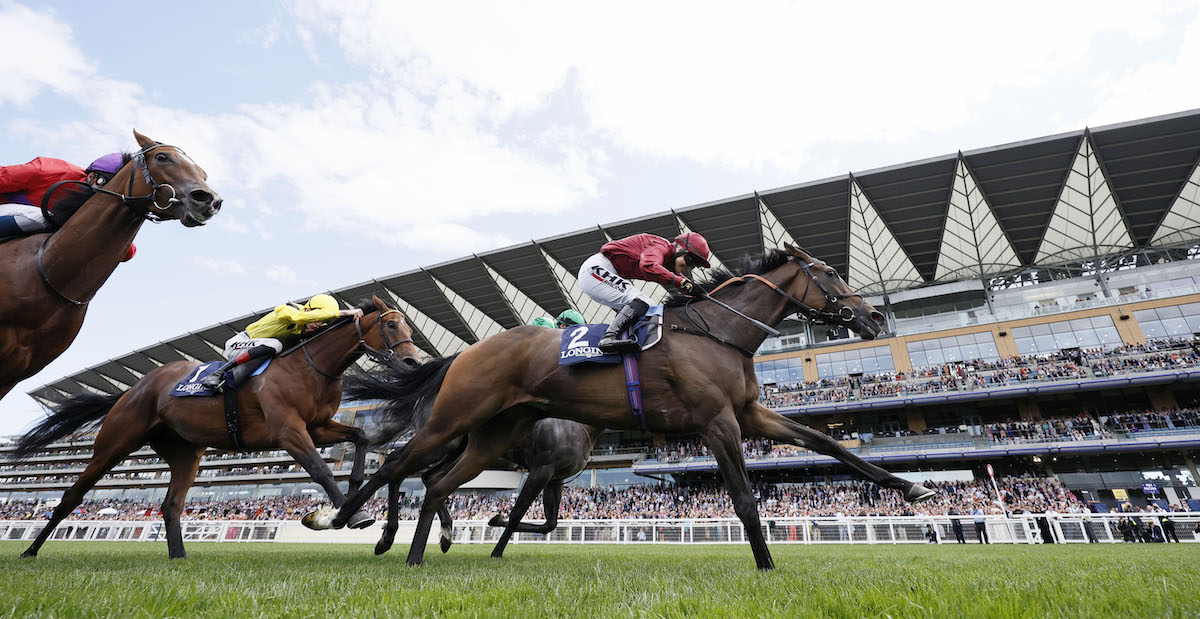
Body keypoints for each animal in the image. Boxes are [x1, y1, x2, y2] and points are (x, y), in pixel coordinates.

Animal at [9, 296, 420, 561]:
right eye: (390, 324)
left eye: (410, 327)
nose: (413, 362)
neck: (311, 364)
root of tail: (133, 389)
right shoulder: (288, 430)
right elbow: (320, 469)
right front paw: (344, 516)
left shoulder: (318, 426)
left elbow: (360, 439)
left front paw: (350, 504)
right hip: (115, 443)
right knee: (71, 496)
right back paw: (30, 550)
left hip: (185, 452)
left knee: (171, 505)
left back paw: (179, 557)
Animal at [312, 245, 936, 571]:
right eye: (829, 274)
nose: (872, 318)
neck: (721, 332)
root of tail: (467, 350)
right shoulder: (717, 422)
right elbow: (743, 498)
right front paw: (765, 565)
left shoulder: (749, 414)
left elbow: (828, 442)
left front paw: (912, 487)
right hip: (456, 418)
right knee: (401, 466)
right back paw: (347, 521)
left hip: (495, 433)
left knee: (438, 483)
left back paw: (418, 554)